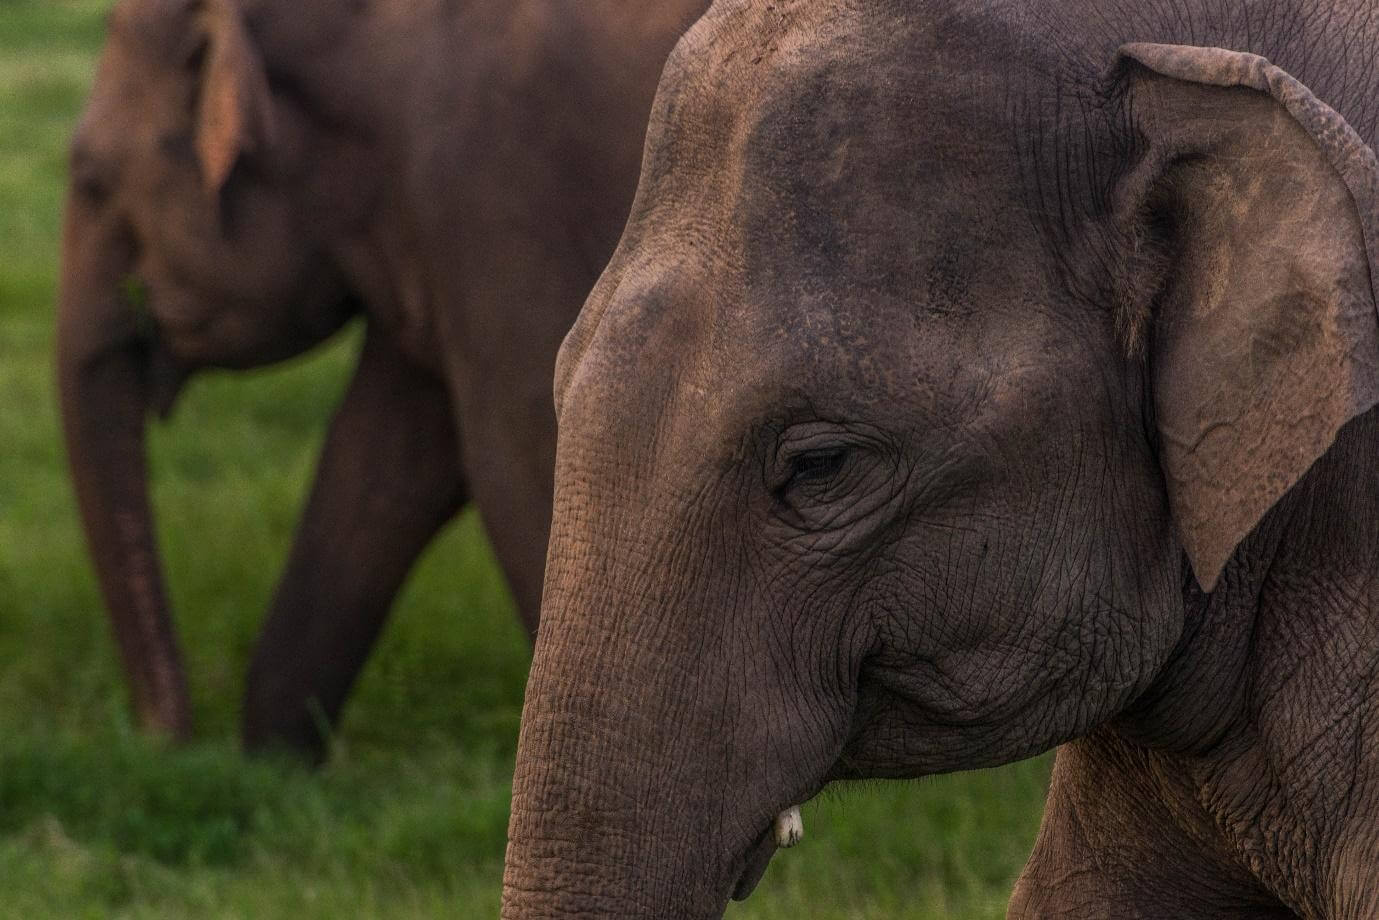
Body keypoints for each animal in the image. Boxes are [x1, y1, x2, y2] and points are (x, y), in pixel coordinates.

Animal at [57, 0, 705, 758]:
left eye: (93, 179)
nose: (166, 743)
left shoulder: (505, 194)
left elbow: (523, 461)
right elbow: (384, 466)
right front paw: (273, 766)